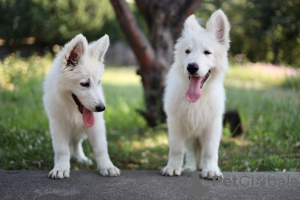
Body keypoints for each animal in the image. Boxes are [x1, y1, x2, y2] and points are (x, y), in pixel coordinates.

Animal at [43, 33, 120, 179]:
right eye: (84, 84)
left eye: (99, 82)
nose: (101, 108)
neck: (73, 109)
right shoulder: (58, 125)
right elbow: (62, 149)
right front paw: (61, 168)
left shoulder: (97, 125)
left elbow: (101, 148)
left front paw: (107, 166)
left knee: (76, 143)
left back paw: (81, 158)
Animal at [162, 9, 230, 179]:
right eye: (187, 51)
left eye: (207, 52)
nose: (192, 67)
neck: (197, 99)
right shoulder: (176, 123)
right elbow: (176, 149)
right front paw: (173, 167)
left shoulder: (212, 126)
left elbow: (210, 152)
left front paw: (211, 170)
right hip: (191, 133)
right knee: (192, 151)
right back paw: (190, 167)